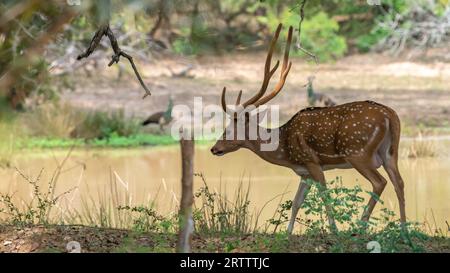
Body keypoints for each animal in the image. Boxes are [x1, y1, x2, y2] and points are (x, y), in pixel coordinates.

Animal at [211, 23, 408, 233]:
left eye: (228, 130)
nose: (214, 148)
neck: (285, 150)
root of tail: (390, 115)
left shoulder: (312, 161)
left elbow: (324, 196)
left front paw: (334, 230)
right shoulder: (304, 172)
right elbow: (296, 202)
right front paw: (287, 233)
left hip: (357, 152)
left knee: (380, 182)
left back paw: (360, 227)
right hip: (390, 152)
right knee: (399, 182)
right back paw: (404, 228)